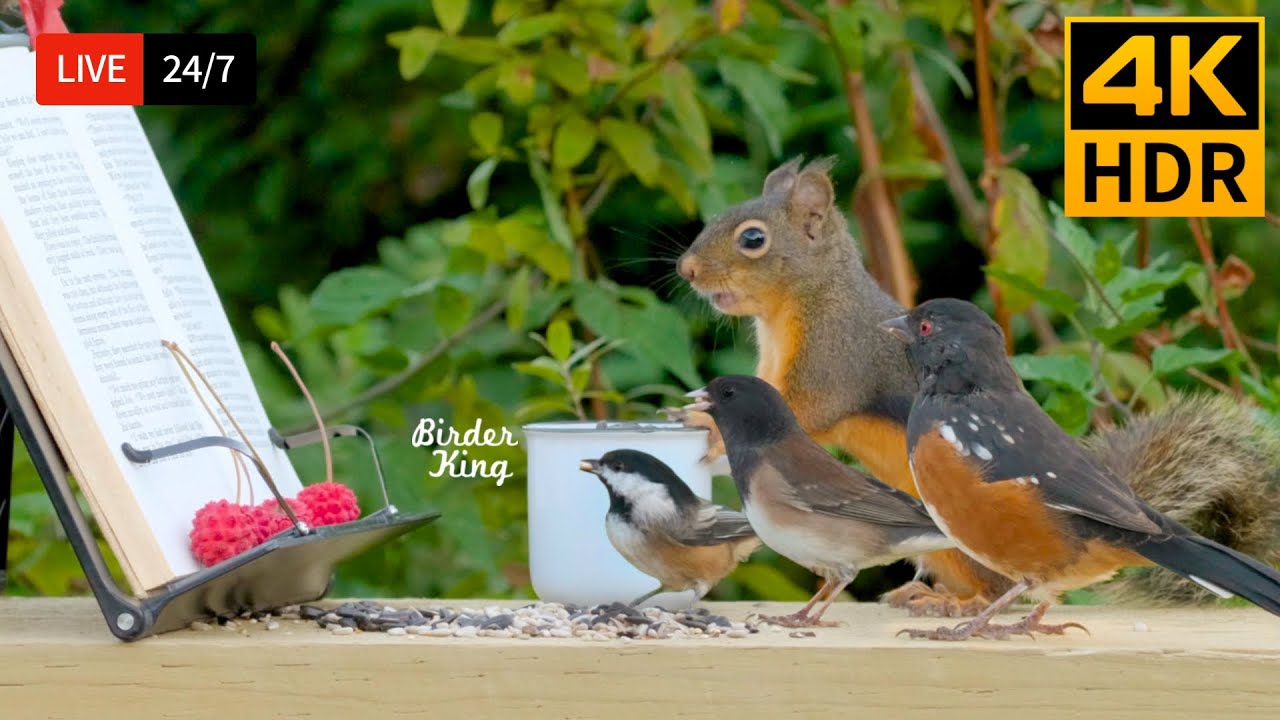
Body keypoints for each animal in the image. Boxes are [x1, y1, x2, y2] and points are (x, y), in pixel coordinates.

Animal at [669, 156, 1280, 613]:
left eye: (753, 239)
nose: (686, 270)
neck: (801, 302)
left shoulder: (835, 360)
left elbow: (805, 412)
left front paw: (712, 435)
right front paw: (693, 418)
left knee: (1002, 588)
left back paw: (954, 605)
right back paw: (920, 595)